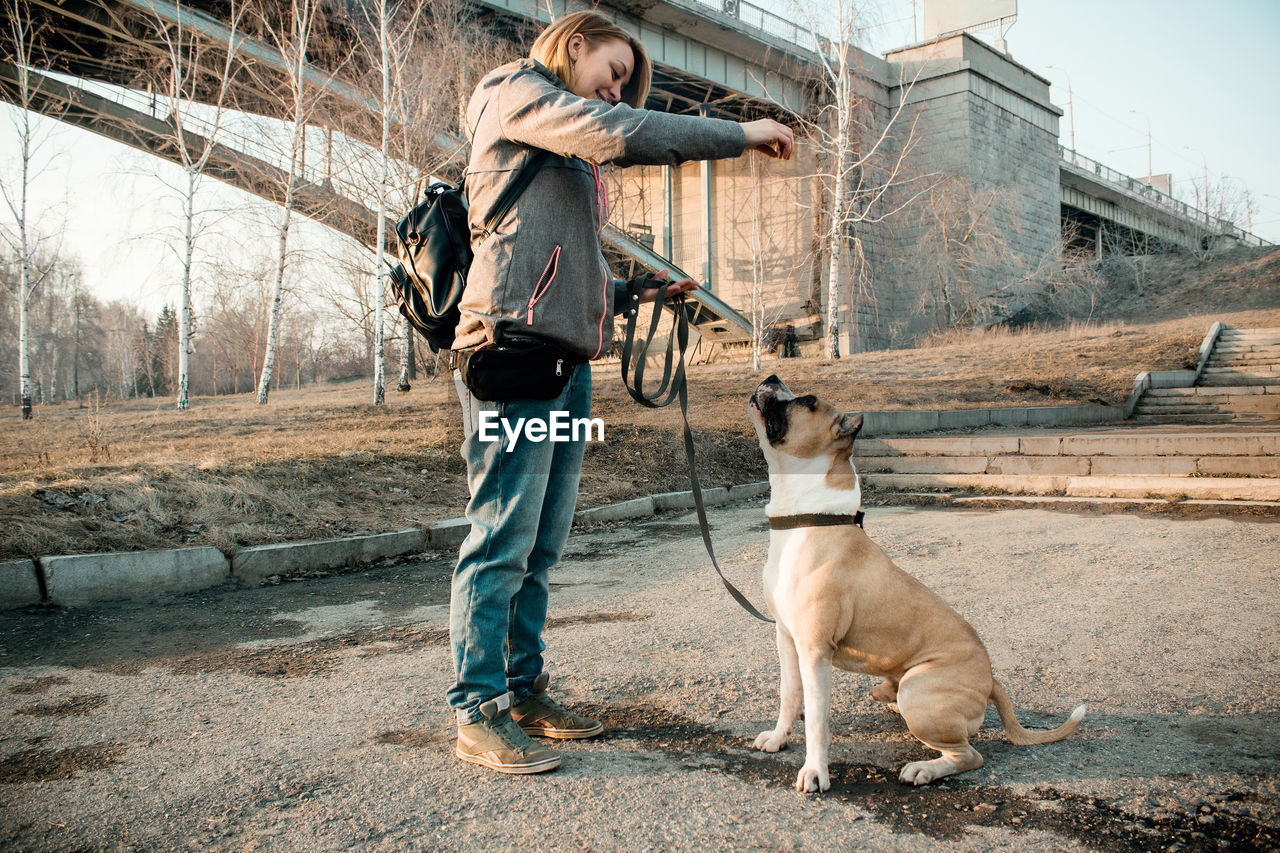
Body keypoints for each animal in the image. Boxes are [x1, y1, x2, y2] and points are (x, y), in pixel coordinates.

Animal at [747, 376, 1085, 788]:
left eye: (808, 401)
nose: (771, 378)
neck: (809, 519)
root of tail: (992, 681)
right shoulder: (787, 639)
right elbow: (789, 695)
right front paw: (779, 738)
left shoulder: (814, 651)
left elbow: (816, 721)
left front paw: (814, 771)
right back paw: (887, 698)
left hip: (920, 691)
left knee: (969, 754)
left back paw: (925, 767)